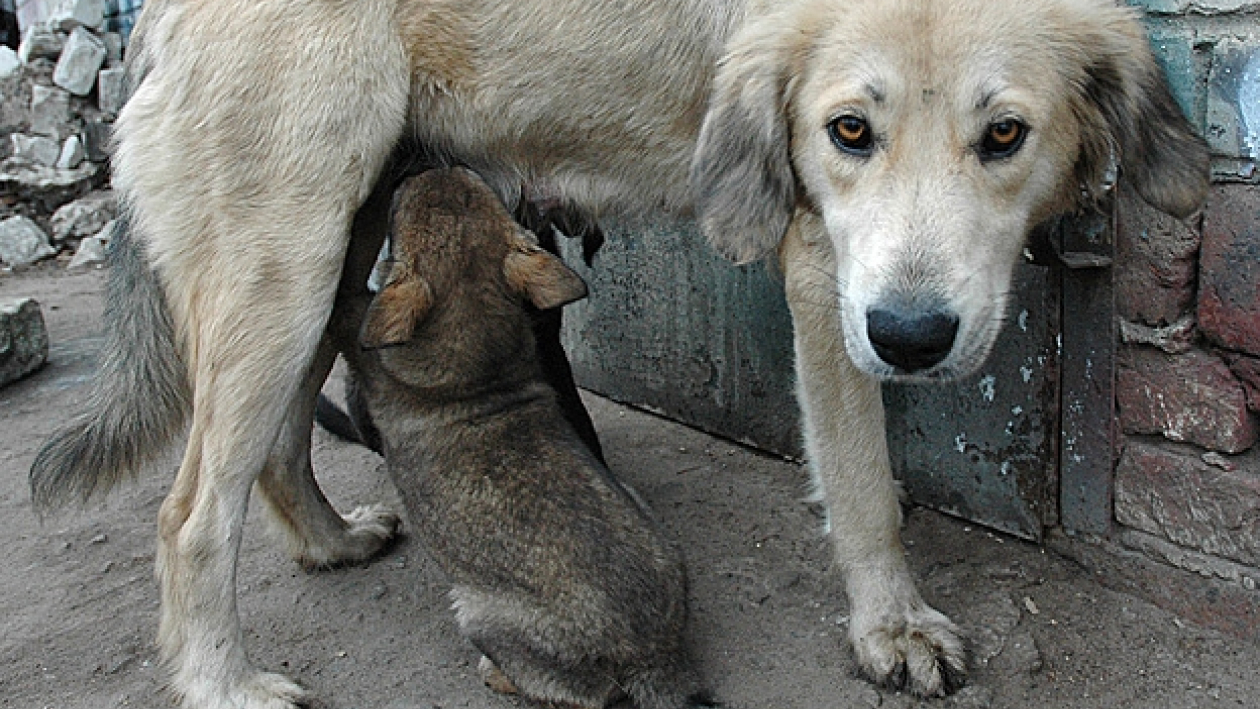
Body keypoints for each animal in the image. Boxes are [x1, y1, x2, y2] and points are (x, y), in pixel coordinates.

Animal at [332, 168, 710, 709]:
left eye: (399, 208)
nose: (424, 168)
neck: (478, 368)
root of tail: (654, 658)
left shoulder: (361, 346)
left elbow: (347, 308)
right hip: (641, 509)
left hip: (474, 612)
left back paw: (495, 673)